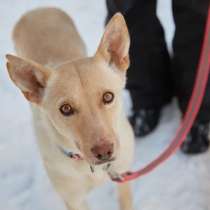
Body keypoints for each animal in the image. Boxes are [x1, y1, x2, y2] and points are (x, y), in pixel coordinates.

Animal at [6, 7, 135, 210]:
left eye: (108, 97)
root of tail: (36, 9)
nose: (104, 151)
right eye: (65, 108)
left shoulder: (123, 177)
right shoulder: (74, 200)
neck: (92, 169)